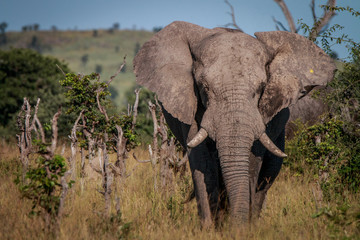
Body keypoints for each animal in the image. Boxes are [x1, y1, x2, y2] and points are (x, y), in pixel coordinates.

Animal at [132, 21, 334, 227]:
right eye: (204, 87)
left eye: (262, 88)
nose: (237, 226)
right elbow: (202, 160)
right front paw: (209, 228)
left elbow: (253, 161)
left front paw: (241, 227)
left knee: (267, 176)